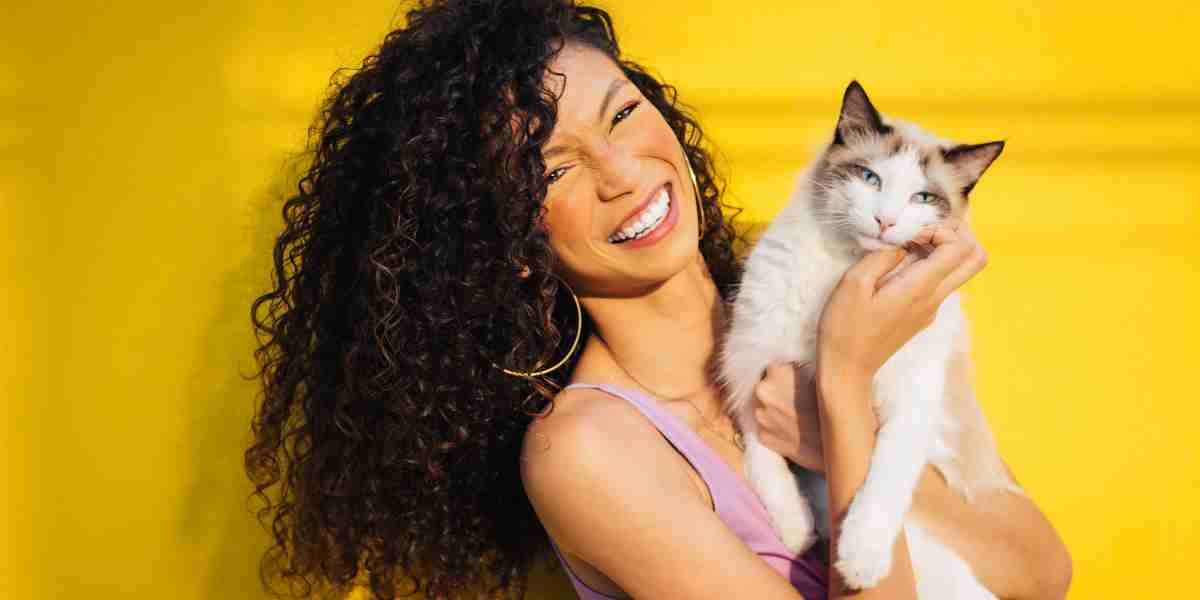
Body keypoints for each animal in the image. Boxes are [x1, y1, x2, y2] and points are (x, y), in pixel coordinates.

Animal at [715, 81, 1027, 600]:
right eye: (870, 178)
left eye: (922, 197)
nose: (885, 221)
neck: (846, 273)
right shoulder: (750, 368)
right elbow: (765, 459)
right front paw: (795, 529)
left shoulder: (910, 404)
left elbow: (884, 479)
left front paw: (859, 560)